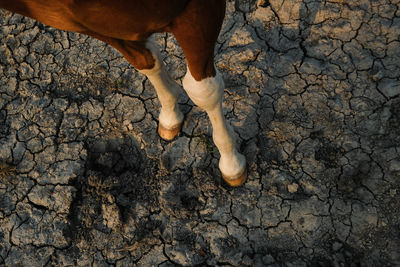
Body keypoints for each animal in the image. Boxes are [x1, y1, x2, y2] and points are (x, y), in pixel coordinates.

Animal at [0, 0, 248, 187]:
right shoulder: (95, 25)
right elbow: (146, 62)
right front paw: (170, 115)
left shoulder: (197, 10)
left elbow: (203, 91)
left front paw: (231, 163)